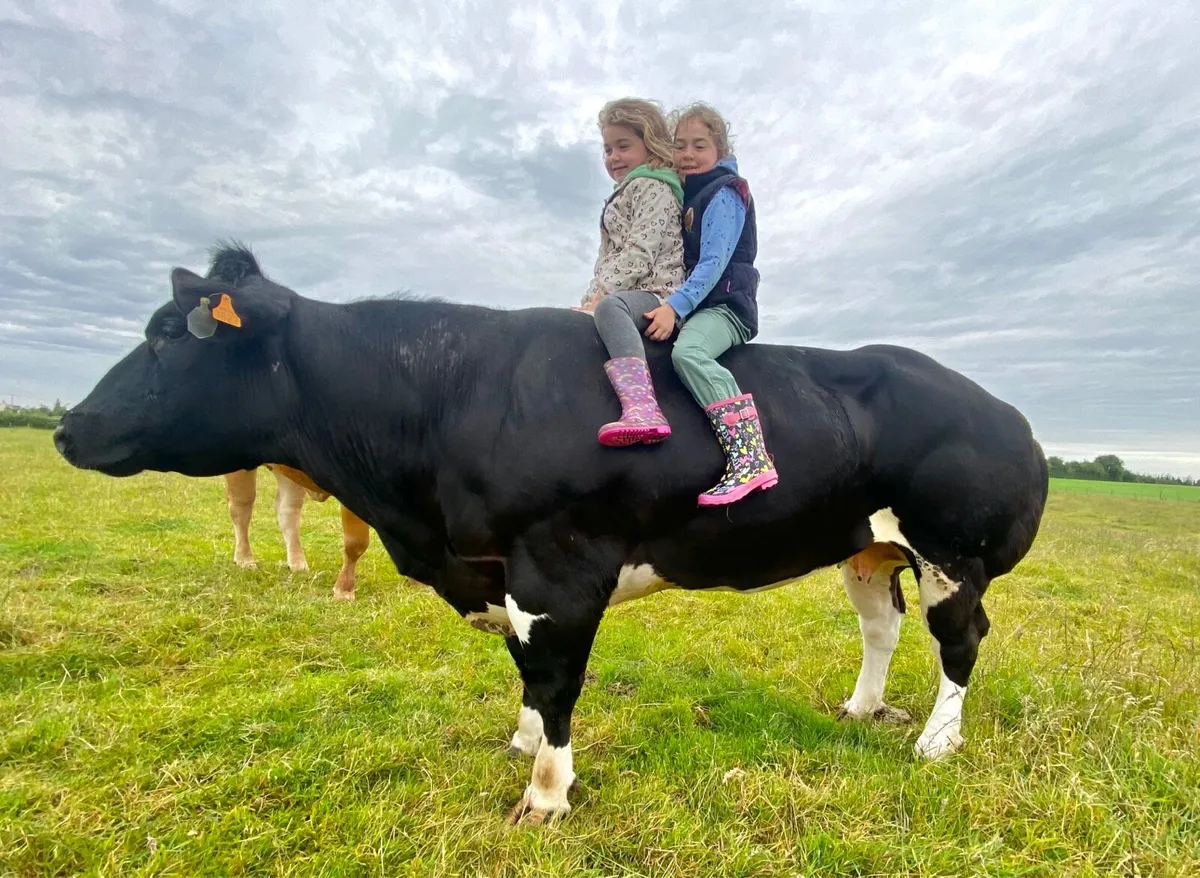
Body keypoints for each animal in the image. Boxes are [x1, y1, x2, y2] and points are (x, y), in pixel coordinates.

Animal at [222, 464, 371, 600]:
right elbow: (356, 543)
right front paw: (344, 590)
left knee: (287, 510)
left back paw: (297, 565)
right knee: (241, 508)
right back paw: (245, 560)